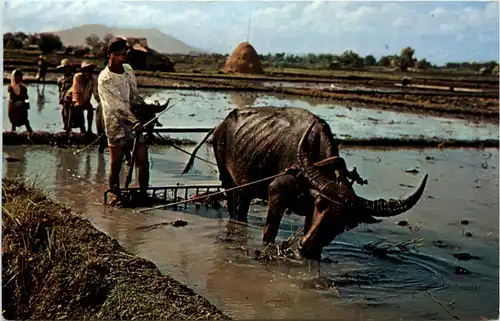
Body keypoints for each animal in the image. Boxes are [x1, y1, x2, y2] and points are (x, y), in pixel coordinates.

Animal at [182, 106, 428, 258]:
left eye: (347, 223)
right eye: (321, 205)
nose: (306, 247)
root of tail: (220, 126)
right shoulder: (277, 193)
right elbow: (269, 232)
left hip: (248, 183)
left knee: (242, 209)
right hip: (227, 177)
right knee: (233, 205)